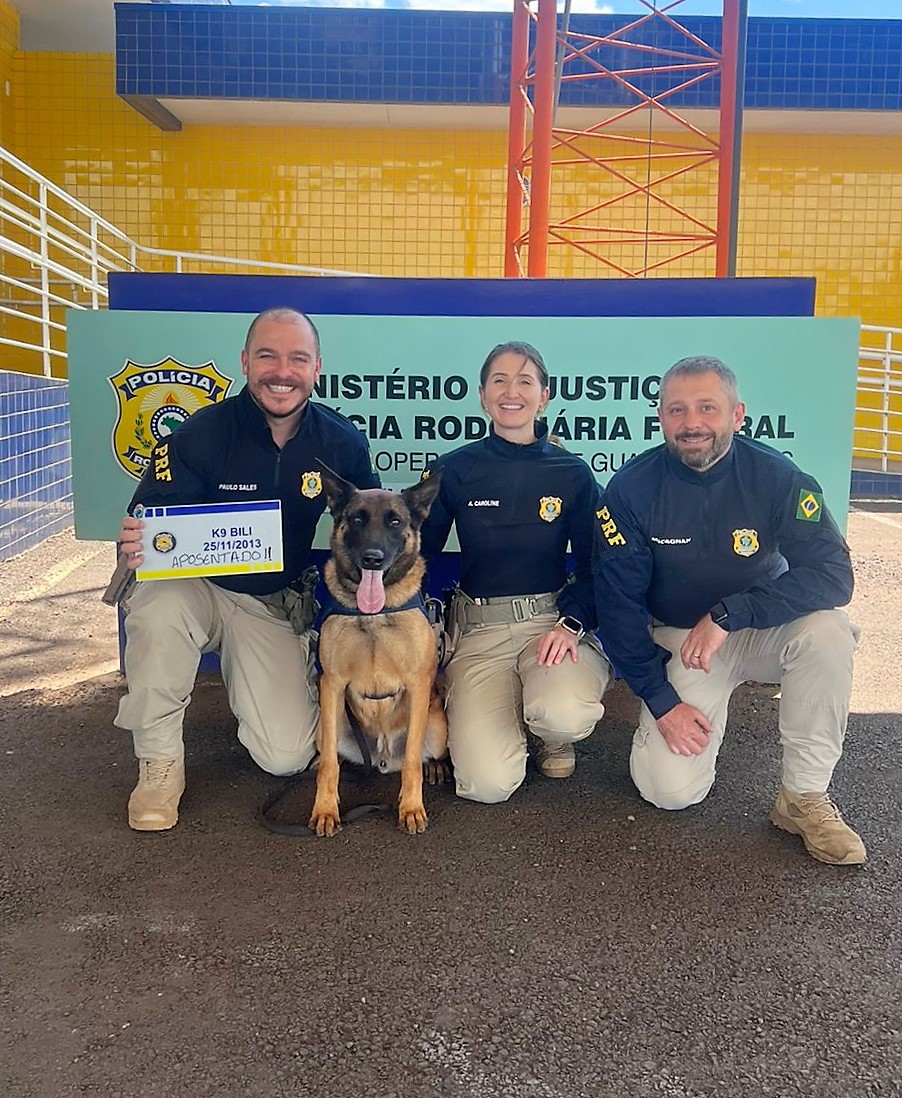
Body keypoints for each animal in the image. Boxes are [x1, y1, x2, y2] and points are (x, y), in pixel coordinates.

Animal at [312, 458, 448, 834]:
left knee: (423, 754)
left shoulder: (419, 684)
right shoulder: (331, 684)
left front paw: (411, 807)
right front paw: (325, 809)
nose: (372, 558)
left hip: (438, 725)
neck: (373, 614)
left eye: (395, 521)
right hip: (327, 724)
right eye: (357, 519)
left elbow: (414, 760)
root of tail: (384, 758)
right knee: (331, 753)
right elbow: (330, 764)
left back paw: (435, 766)